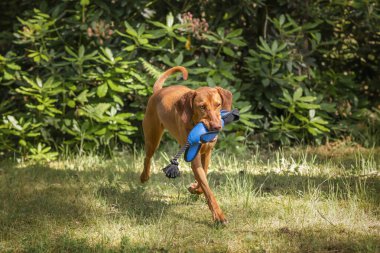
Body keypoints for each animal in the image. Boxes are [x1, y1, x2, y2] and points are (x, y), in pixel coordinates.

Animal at [140, 65, 232, 223]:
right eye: (202, 107)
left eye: (218, 104)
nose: (216, 127)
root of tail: (159, 91)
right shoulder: (194, 158)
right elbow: (207, 189)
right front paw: (219, 216)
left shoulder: (207, 153)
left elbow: (203, 179)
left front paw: (195, 188)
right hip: (152, 138)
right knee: (147, 157)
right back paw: (144, 176)